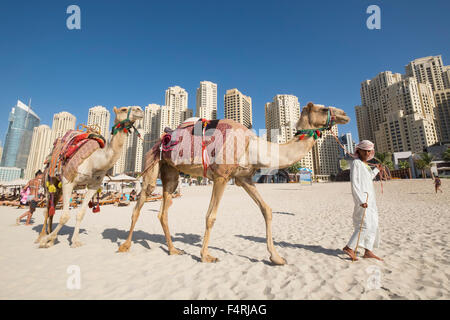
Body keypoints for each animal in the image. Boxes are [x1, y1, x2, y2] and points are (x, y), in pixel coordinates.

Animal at [37, 106, 143, 249]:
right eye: (123, 109)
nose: (140, 109)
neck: (95, 161)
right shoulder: (68, 181)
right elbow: (65, 216)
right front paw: (46, 240)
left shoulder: (93, 186)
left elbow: (81, 214)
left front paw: (74, 241)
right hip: (49, 182)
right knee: (47, 208)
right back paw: (42, 237)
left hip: (57, 189)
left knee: (51, 209)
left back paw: (50, 238)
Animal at [118, 102, 350, 264]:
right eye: (324, 108)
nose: (344, 114)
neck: (252, 146)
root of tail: (157, 141)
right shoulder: (221, 176)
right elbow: (210, 216)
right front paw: (205, 256)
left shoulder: (243, 178)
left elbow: (267, 209)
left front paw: (276, 257)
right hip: (151, 163)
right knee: (141, 200)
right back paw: (125, 246)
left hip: (171, 173)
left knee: (163, 209)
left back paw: (173, 249)